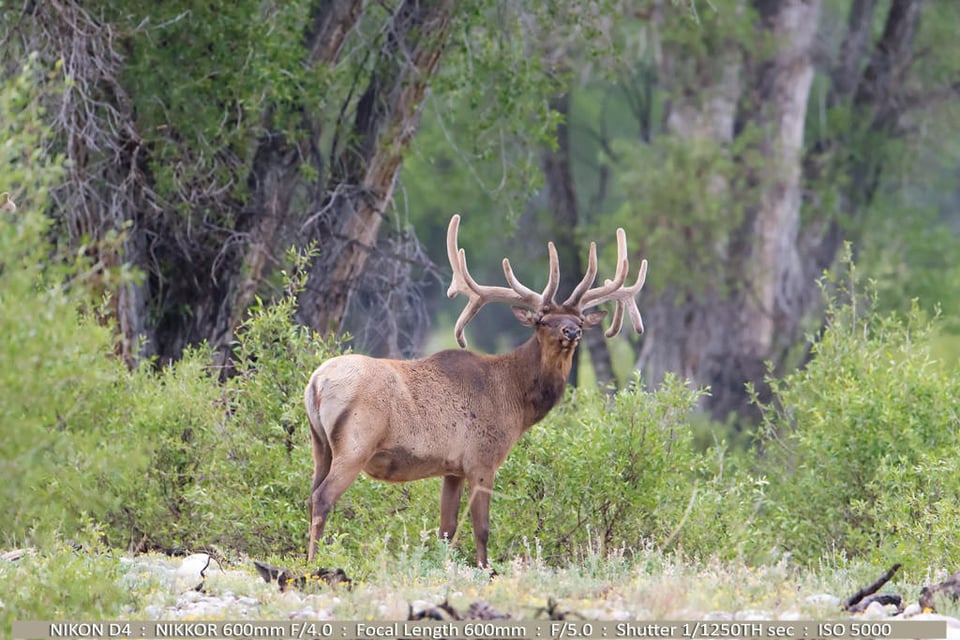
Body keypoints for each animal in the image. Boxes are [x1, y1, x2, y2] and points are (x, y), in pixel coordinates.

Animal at [308, 214, 648, 564]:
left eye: (578, 318)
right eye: (543, 320)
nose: (572, 331)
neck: (514, 399)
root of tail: (316, 382)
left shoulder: (453, 468)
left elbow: (446, 530)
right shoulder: (482, 459)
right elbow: (481, 529)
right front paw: (486, 568)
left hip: (320, 445)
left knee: (311, 493)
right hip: (356, 443)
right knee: (322, 498)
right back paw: (314, 563)